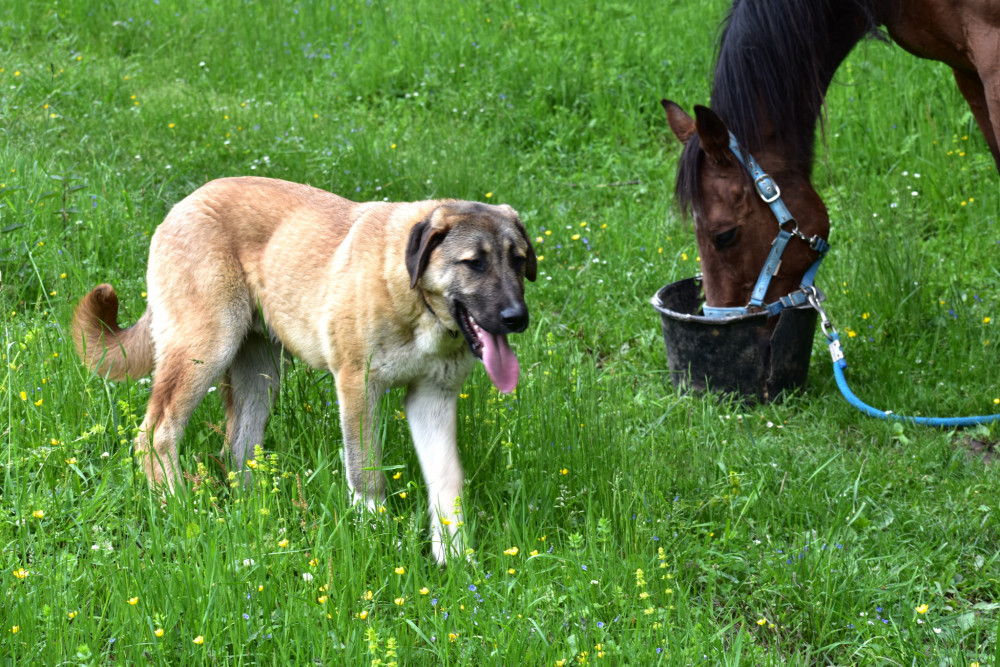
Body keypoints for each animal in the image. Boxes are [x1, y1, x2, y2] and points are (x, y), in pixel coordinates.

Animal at [73, 177, 536, 564]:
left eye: (518, 260)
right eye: (474, 263)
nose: (517, 318)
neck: (417, 299)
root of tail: (182, 206)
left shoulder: (432, 398)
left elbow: (447, 480)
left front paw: (455, 558)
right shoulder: (357, 385)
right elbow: (365, 470)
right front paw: (374, 531)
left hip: (259, 375)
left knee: (236, 447)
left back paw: (258, 514)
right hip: (204, 349)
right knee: (156, 433)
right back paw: (176, 502)